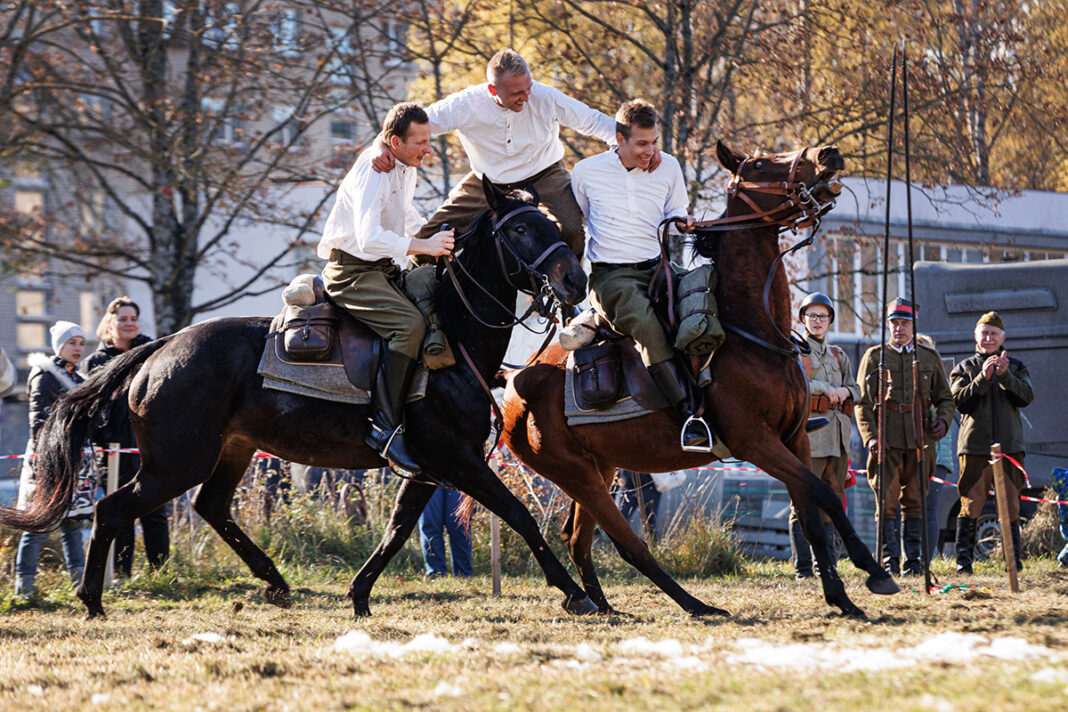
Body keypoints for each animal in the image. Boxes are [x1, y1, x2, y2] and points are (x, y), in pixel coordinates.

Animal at [2, 177, 602, 619]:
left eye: (551, 224)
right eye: (520, 228)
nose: (575, 281)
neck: (453, 336)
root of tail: (160, 348)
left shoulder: (428, 467)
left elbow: (395, 531)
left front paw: (359, 595)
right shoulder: (458, 460)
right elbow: (519, 515)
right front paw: (576, 593)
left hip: (232, 450)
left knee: (210, 507)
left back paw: (274, 581)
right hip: (176, 463)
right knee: (112, 508)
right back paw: (91, 599)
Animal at [495, 141, 897, 619]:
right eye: (760, 164)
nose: (828, 154)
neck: (753, 333)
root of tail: (514, 386)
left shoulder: (795, 438)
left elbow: (815, 512)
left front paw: (843, 595)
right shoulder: (755, 443)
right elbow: (822, 493)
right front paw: (873, 571)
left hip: (599, 468)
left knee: (577, 540)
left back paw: (600, 605)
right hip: (577, 474)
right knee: (629, 545)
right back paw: (695, 605)